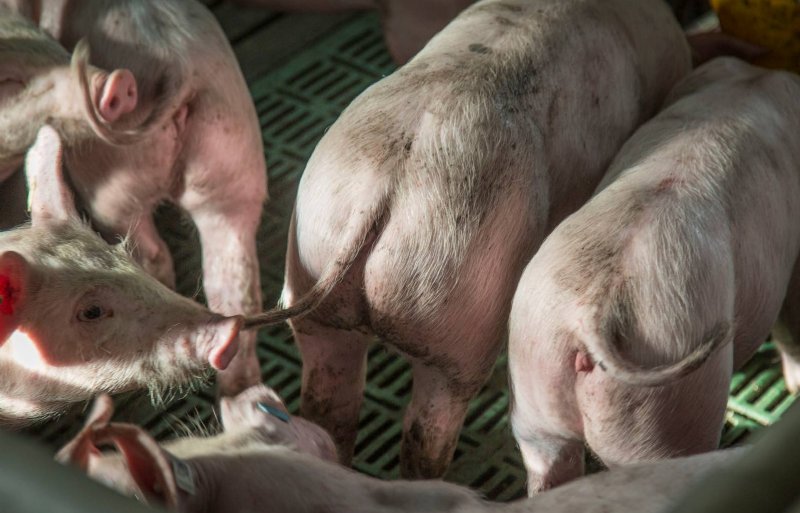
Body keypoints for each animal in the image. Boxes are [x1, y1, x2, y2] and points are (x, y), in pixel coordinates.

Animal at [3, 0, 268, 396]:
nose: (117, 84)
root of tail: (179, 67)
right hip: (233, 153)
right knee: (234, 280)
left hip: (112, 183)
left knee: (151, 252)